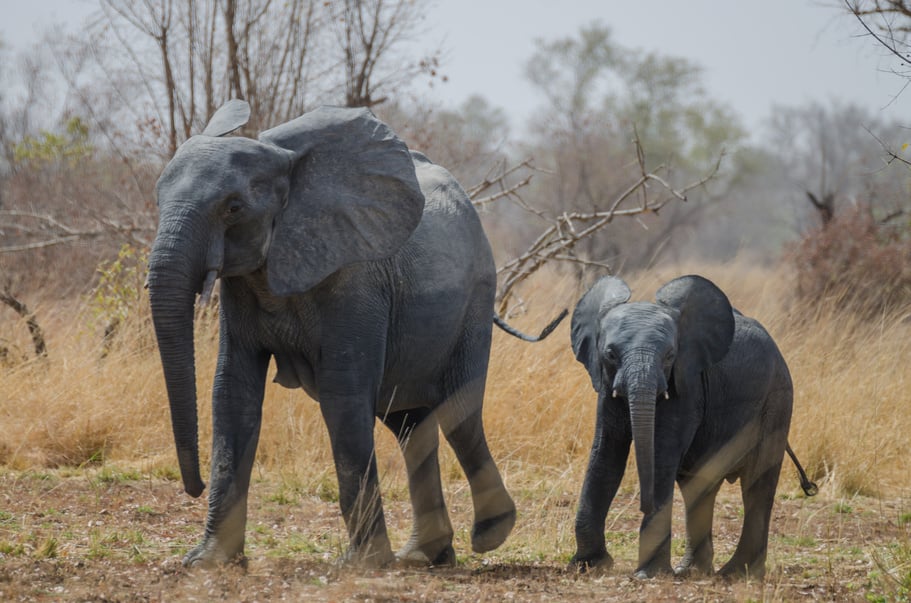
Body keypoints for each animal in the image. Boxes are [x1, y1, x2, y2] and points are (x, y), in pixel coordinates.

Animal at [148, 100, 564, 572]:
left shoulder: (356, 279)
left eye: (233, 208)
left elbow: (342, 395)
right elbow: (232, 393)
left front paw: (362, 565)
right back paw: (424, 556)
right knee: (410, 424)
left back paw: (490, 535)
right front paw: (208, 562)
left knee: (459, 415)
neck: (287, 166)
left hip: (475, 297)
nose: (194, 487)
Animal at [572, 278, 816, 580]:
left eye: (670, 356)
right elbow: (605, 455)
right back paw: (694, 571)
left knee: (757, 485)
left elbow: (662, 454)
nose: (644, 503)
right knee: (698, 486)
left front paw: (648, 575)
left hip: (777, 400)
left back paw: (737, 574)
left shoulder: (688, 386)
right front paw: (588, 565)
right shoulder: (606, 385)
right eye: (610, 354)